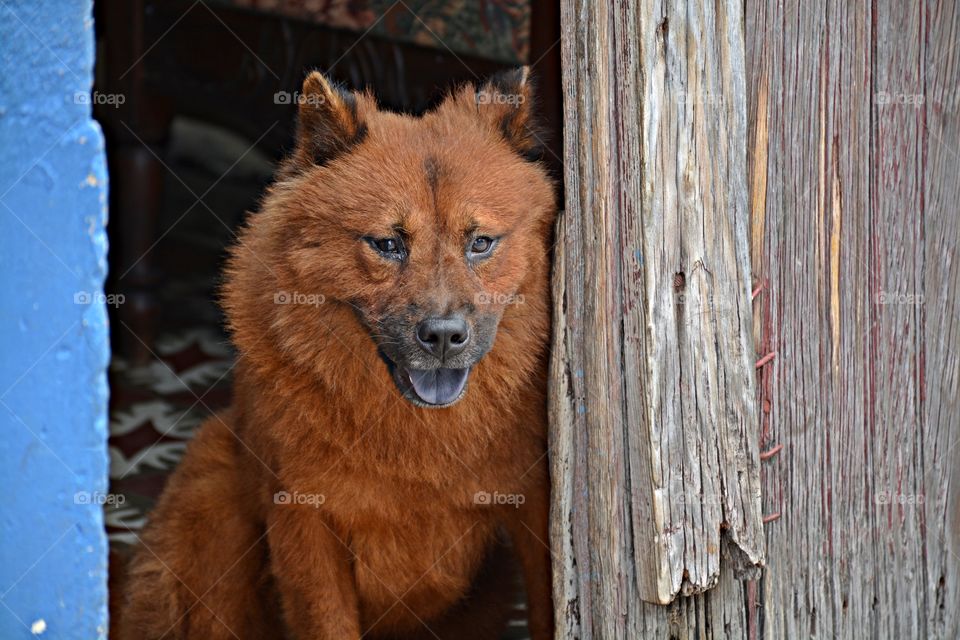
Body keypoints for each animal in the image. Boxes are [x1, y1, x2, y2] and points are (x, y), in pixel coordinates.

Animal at [118, 67, 556, 636]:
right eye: (388, 245)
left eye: (480, 243)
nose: (442, 336)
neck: (415, 439)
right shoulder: (306, 521)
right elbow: (326, 621)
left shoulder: (535, 509)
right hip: (211, 502)